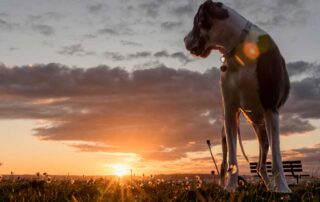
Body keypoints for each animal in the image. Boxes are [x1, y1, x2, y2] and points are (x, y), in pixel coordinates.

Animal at [184, 0, 292, 193]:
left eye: (196, 21)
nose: (184, 40)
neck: (238, 49)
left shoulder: (271, 108)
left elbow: (277, 157)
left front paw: (283, 189)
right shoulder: (230, 111)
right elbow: (232, 160)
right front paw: (230, 188)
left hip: (264, 130)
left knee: (262, 163)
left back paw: (271, 186)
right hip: (226, 134)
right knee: (226, 162)